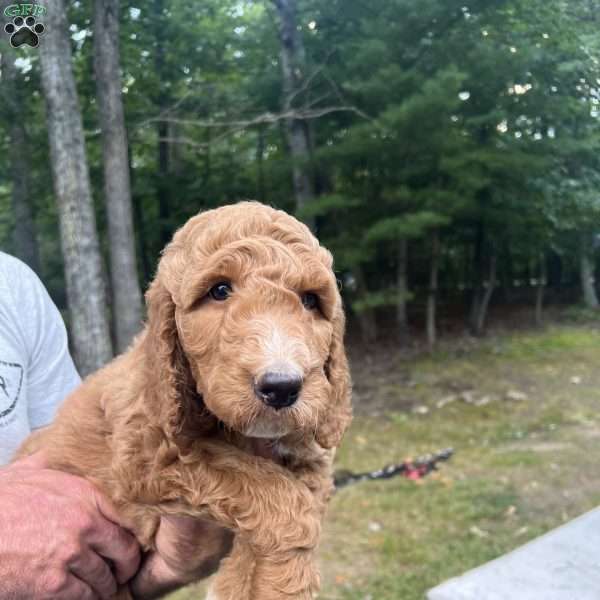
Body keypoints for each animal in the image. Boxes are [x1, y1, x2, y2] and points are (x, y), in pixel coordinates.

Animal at [18, 203, 354, 600]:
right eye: (219, 290)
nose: (282, 387)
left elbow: (305, 496)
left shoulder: (309, 454)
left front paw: (248, 583)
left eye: (310, 300)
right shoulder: (147, 453)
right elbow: (277, 492)